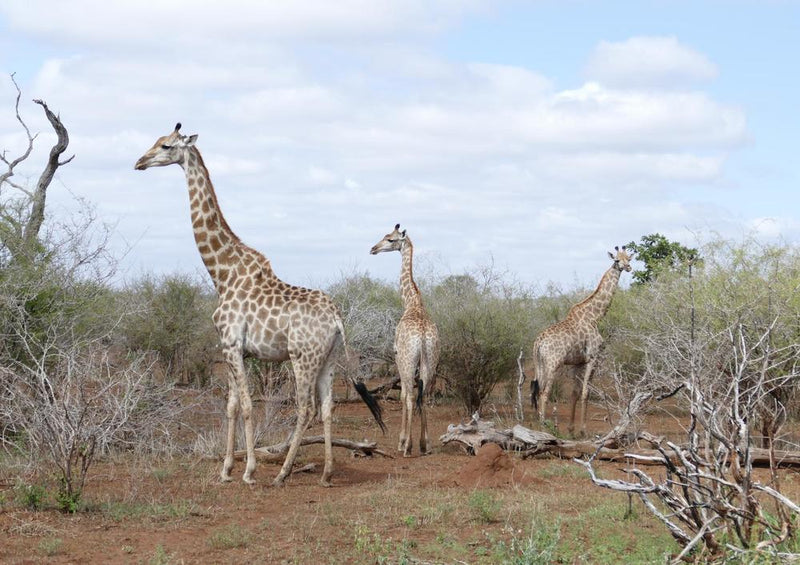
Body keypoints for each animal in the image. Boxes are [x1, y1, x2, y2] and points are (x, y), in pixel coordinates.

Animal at [134, 123, 384, 484]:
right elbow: (231, 406)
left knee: (306, 407)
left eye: (165, 146)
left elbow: (248, 405)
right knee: (326, 407)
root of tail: (338, 318)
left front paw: (248, 470)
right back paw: (325, 472)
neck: (221, 273)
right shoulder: (232, 349)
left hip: (302, 357)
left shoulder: (231, 344)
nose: (139, 162)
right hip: (329, 358)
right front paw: (226, 469)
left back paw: (282, 472)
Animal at [370, 223, 440, 456]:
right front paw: (421, 443)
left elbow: (402, 396)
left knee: (409, 396)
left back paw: (407, 446)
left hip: (408, 361)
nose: (373, 249)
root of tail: (423, 337)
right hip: (430, 361)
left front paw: (402, 441)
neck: (412, 302)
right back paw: (425, 444)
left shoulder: (398, 356)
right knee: (424, 395)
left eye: (390, 239)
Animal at [524, 245, 632, 434]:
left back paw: (538, 423)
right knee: (544, 393)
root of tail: (538, 343)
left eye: (629, 258)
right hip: (553, 364)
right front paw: (583, 429)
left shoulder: (577, 362)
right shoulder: (593, 358)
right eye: (617, 260)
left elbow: (574, 392)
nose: (628, 267)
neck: (595, 316)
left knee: (536, 390)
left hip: (540, 364)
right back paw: (544, 426)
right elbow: (585, 392)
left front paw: (571, 428)